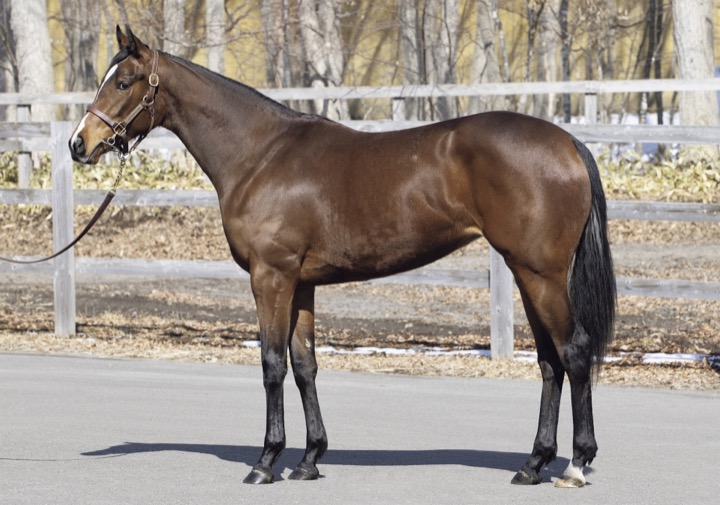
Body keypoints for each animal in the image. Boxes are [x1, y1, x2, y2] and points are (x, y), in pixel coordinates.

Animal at [69, 26, 615, 488]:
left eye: (123, 82)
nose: (79, 144)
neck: (260, 154)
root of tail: (567, 142)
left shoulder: (271, 278)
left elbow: (272, 364)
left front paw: (266, 462)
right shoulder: (302, 283)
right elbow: (305, 364)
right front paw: (309, 459)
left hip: (540, 273)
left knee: (574, 351)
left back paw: (576, 464)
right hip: (527, 274)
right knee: (549, 362)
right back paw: (533, 464)